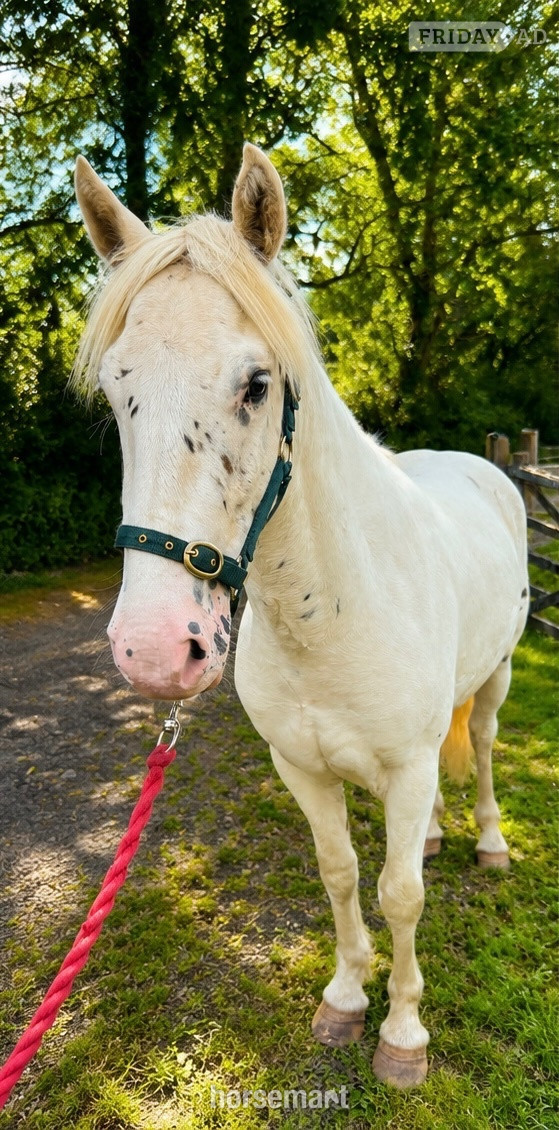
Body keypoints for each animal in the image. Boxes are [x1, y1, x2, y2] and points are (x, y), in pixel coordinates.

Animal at [73, 143, 529, 1087]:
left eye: (256, 384)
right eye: (116, 389)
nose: (153, 651)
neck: (328, 618)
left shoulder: (405, 766)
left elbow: (400, 894)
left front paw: (402, 1034)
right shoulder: (302, 768)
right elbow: (343, 872)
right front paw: (346, 998)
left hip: (499, 678)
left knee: (483, 750)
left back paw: (489, 843)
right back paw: (437, 835)